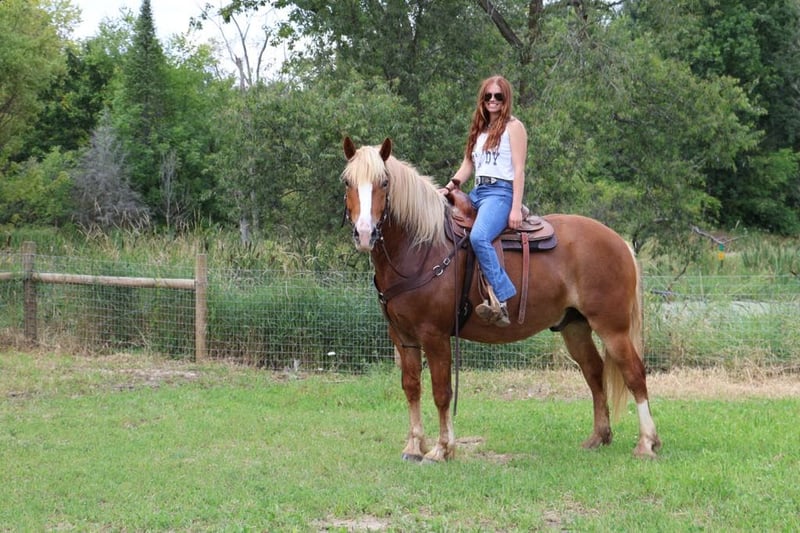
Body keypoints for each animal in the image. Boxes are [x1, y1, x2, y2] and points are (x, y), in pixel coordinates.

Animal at [340, 137, 661, 460]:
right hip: (575, 326)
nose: (365, 233)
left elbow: (441, 392)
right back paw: (598, 437)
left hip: (612, 327)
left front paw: (442, 450)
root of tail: (619, 241)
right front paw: (414, 445)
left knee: (634, 373)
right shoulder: (402, 335)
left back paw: (646, 443)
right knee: (594, 373)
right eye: (347, 182)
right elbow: (411, 387)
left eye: (383, 182)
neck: (422, 247)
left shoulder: (435, 334)